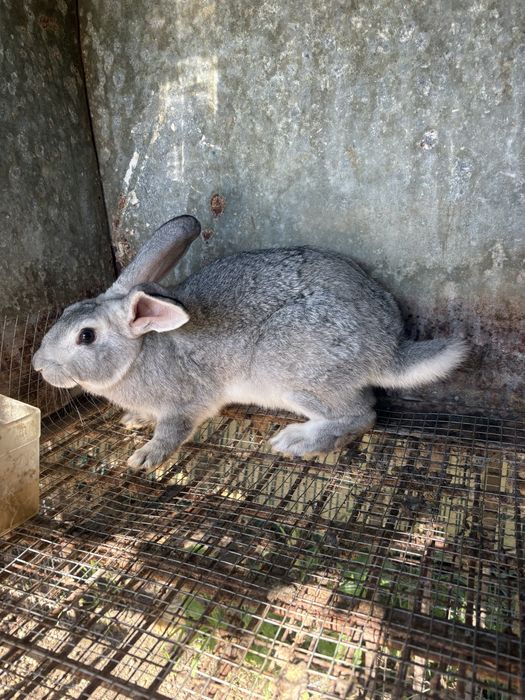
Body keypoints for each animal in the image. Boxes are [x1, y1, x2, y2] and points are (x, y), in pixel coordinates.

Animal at [32, 214, 467, 469]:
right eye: (66, 311)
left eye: (86, 336)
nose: (38, 366)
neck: (139, 352)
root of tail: (387, 350)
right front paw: (133, 420)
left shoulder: (185, 403)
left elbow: (172, 431)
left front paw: (144, 457)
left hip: (292, 374)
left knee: (362, 415)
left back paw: (298, 441)